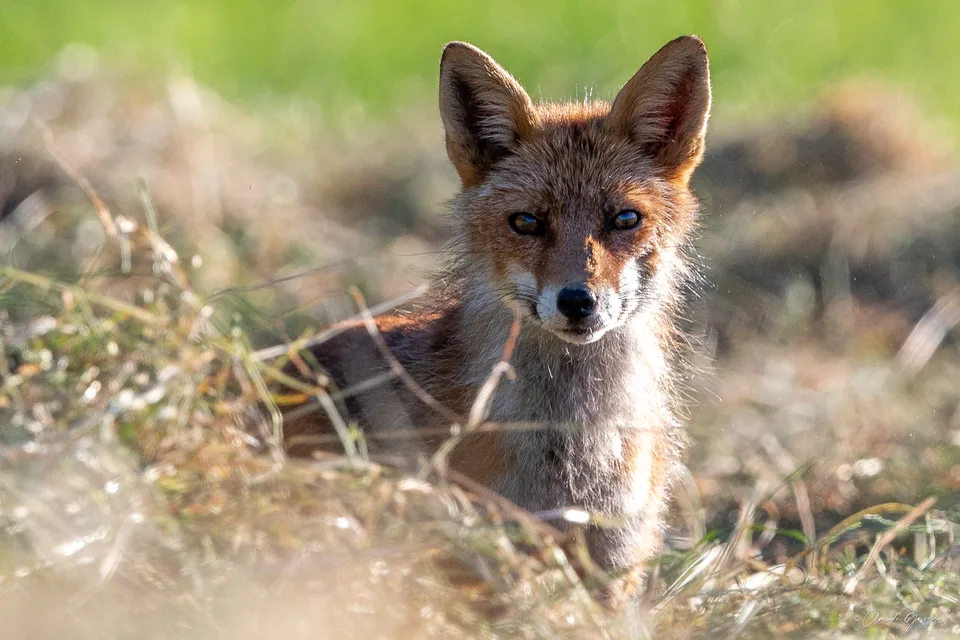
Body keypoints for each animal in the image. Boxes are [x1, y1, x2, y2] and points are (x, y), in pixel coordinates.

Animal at [283, 35, 711, 602]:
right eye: (526, 222)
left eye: (625, 219)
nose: (578, 300)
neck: (569, 449)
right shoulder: (481, 551)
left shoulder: (616, 556)